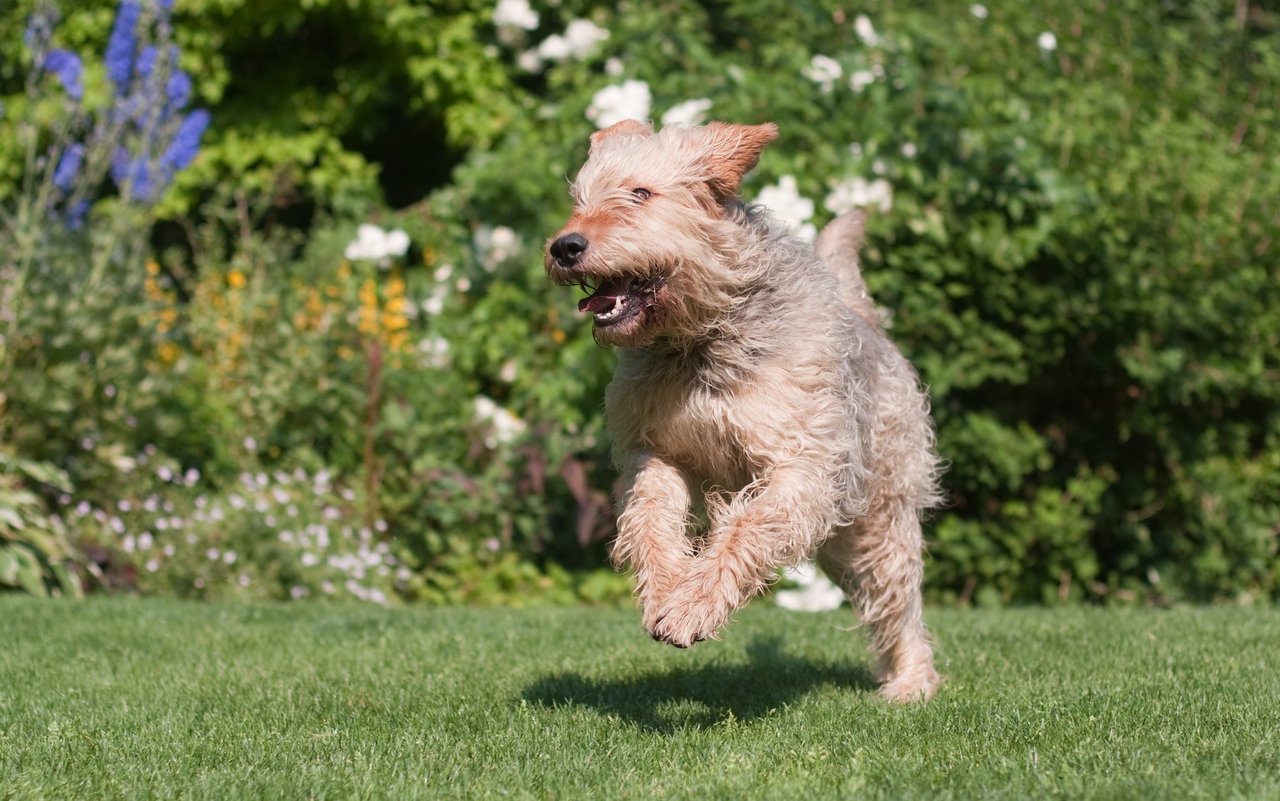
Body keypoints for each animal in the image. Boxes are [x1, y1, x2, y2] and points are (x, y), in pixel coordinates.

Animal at [542, 118, 942, 696]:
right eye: (580, 199)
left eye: (640, 193)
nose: (564, 246)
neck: (701, 342)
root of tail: (861, 314)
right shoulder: (658, 453)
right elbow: (649, 520)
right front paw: (665, 590)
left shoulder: (801, 466)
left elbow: (745, 529)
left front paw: (691, 608)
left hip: (878, 514)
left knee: (897, 598)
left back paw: (910, 681)